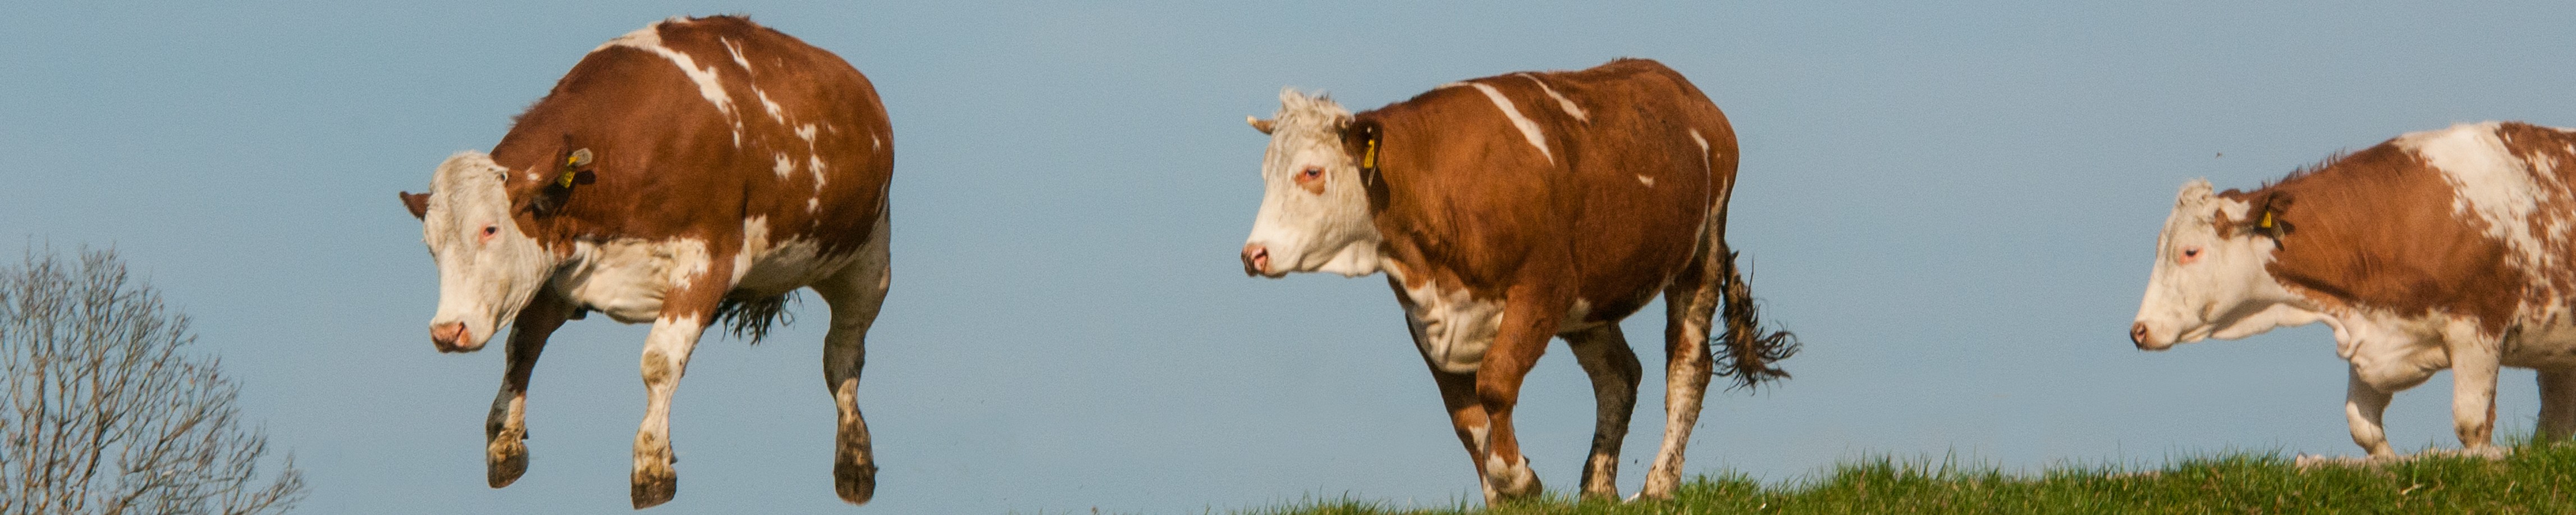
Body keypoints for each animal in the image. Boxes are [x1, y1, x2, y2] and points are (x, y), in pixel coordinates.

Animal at [391, 16, 896, 507]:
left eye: (490, 229)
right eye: (431, 245)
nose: (447, 330)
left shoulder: (709, 256)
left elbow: (658, 361)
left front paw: (651, 467)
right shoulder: (559, 268)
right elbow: (521, 349)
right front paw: (504, 443)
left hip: (868, 263)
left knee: (842, 356)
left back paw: (854, 461)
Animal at [1236, 59, 1803, 502]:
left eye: (1312, 171)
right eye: (1265, 174)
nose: (1253, 254)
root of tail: (1692, 98)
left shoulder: (1541, 288)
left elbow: (1495, 382)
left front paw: (1517, 477)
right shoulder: (1424, 316)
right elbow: (1465, 418)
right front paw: (1498, 492)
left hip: (1700, 249)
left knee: (1687, 367)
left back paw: (1658, 486)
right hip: (1589, 301)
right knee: (1619, 374)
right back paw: (1598, 488)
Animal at [2143, 122, 2576, 461]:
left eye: (2189, 251)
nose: (2139, 329)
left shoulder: (2478, 329)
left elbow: (2471, 425)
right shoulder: (2367, 337)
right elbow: (2362, 428)